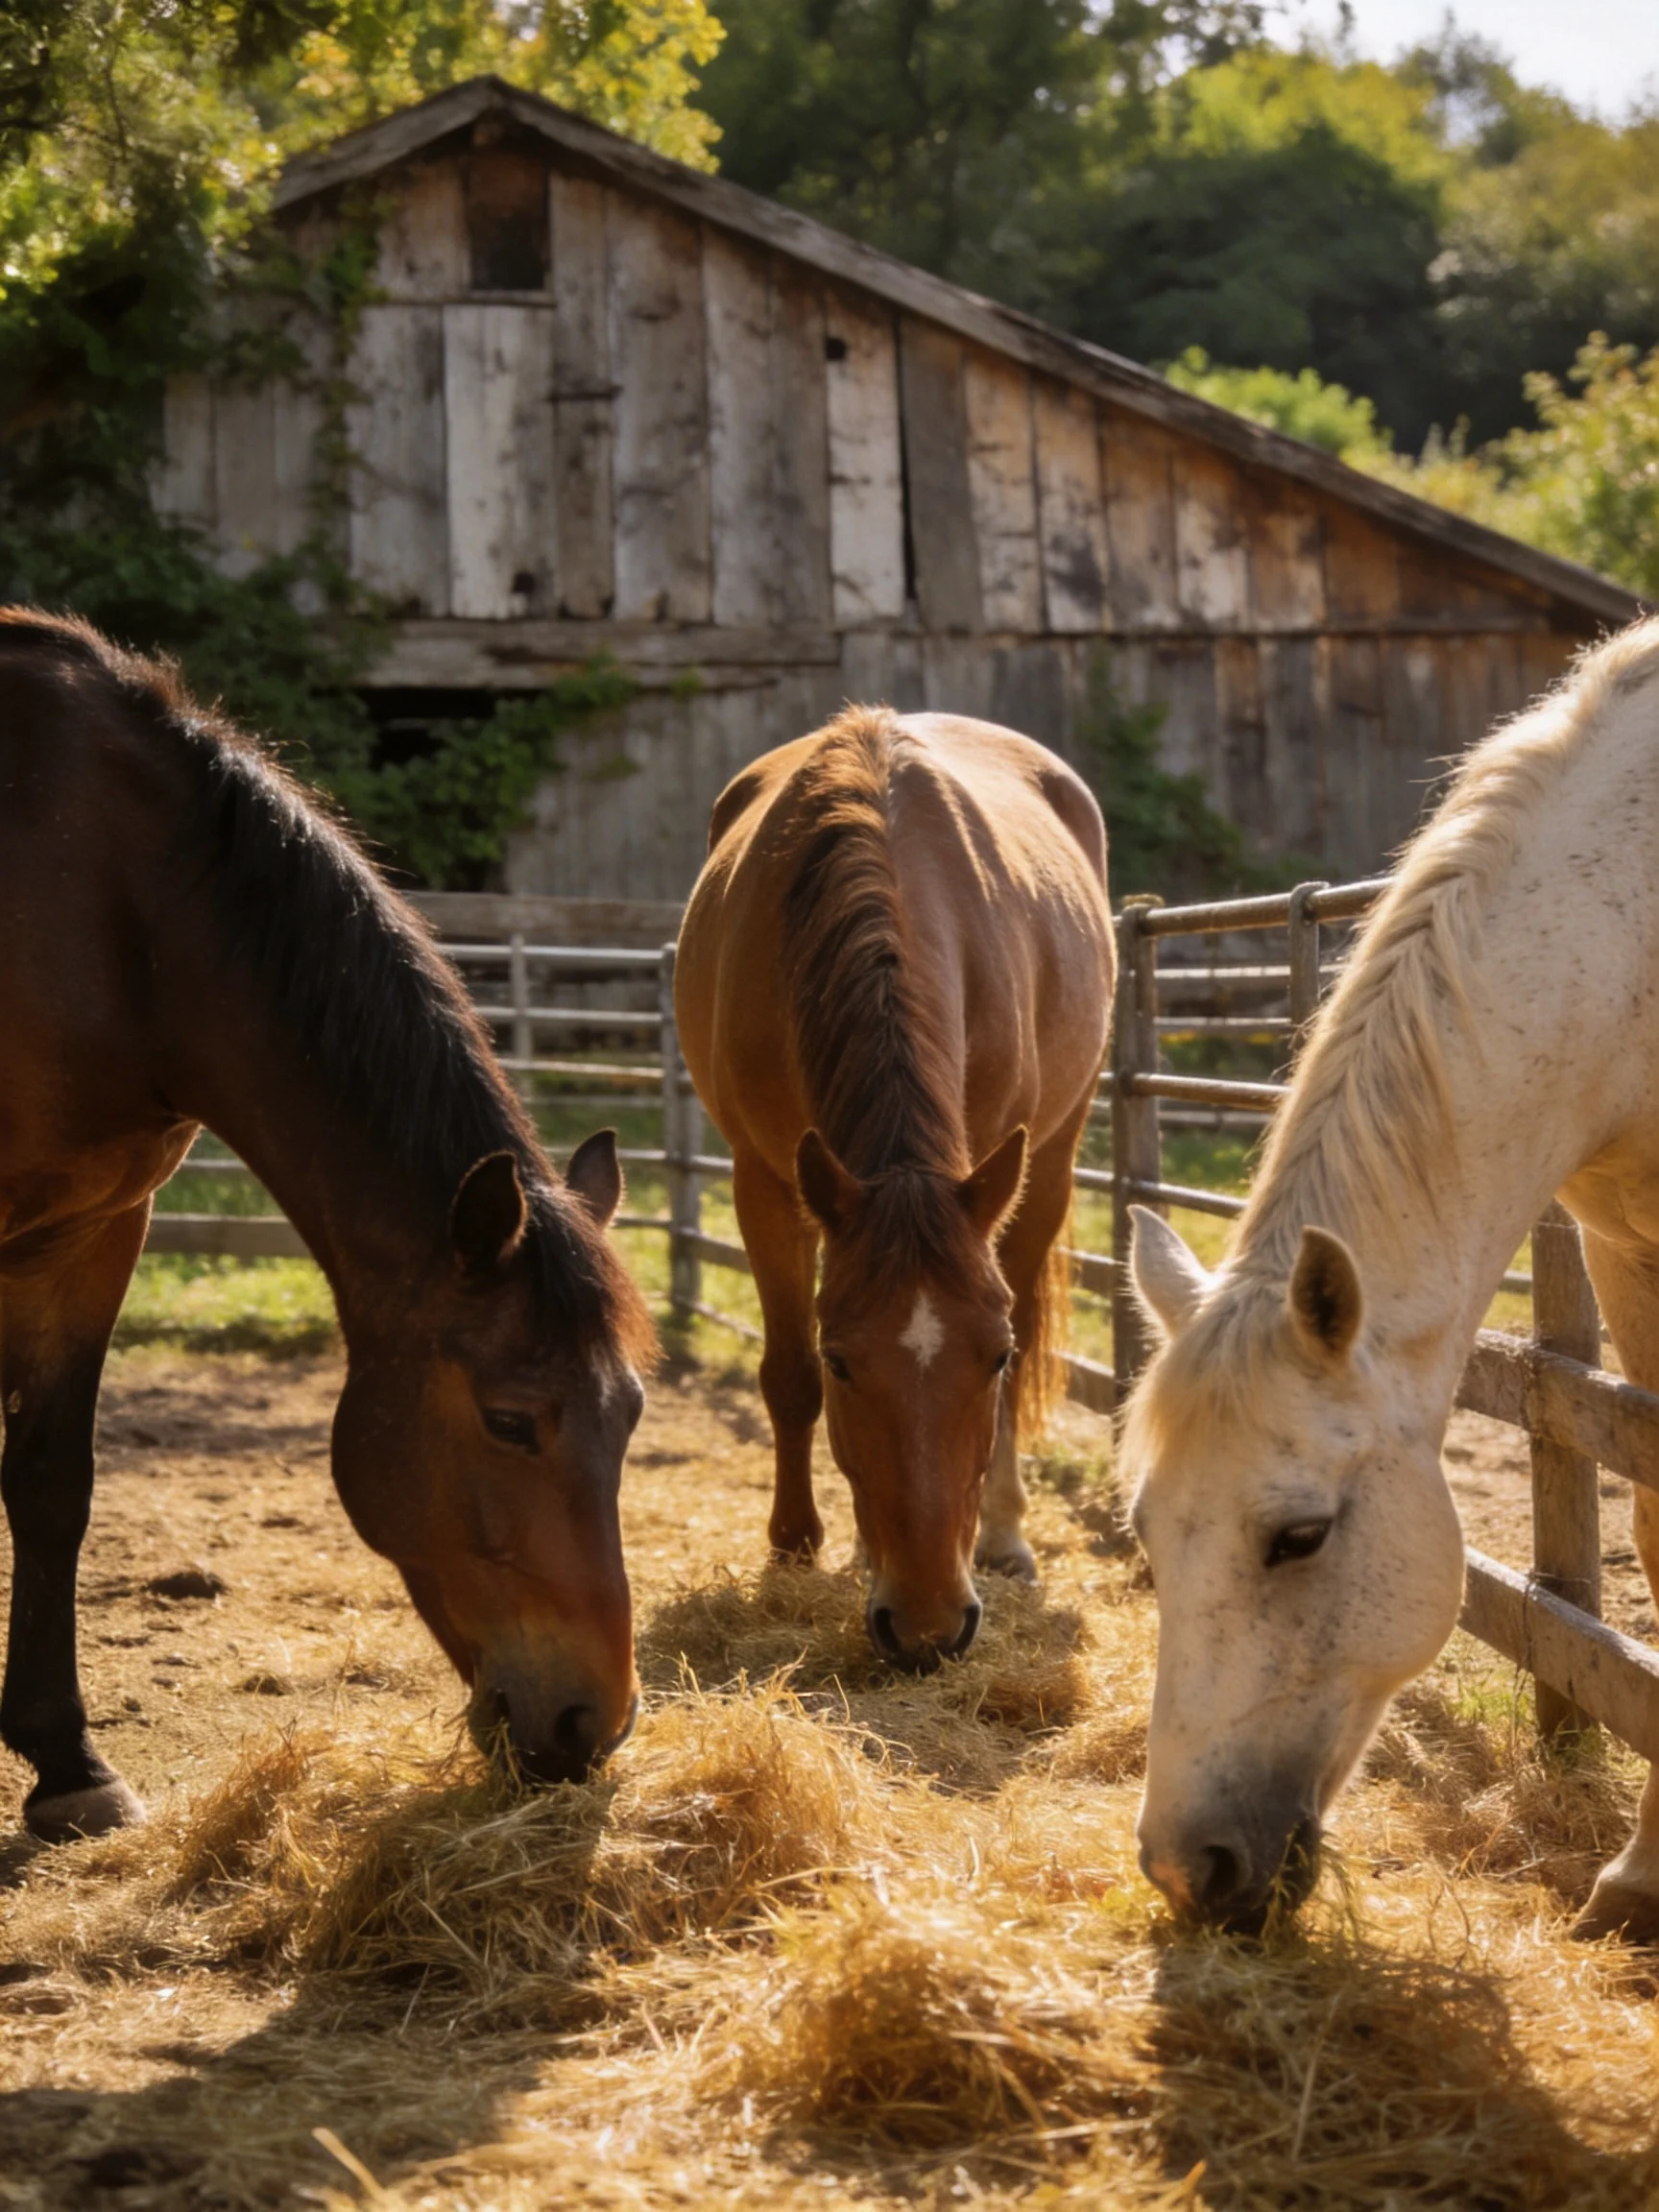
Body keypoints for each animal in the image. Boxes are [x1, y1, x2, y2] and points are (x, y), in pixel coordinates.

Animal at [0, 612, 656, 1842]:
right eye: (509, 1422)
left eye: (631, 1416)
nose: (592, 1725)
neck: (106, 902)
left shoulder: (94, 1229)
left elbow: (53, 1483)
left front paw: (68, 1766)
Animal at [674, 705, 1114, 1671]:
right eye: (845, 1361)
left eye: (996, 1358)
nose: (928, 1629)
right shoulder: (764, 1181)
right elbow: (786, 1373)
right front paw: (794, 1547)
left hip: (1052, 1160)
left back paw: (1005, 1535)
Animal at [1122, 614, 1659, 1939]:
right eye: (1146, 1528)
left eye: (1300, 1537)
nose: (1187, 1871)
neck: (1633, 936)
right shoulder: (1626, 1248)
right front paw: (1641, 1875)